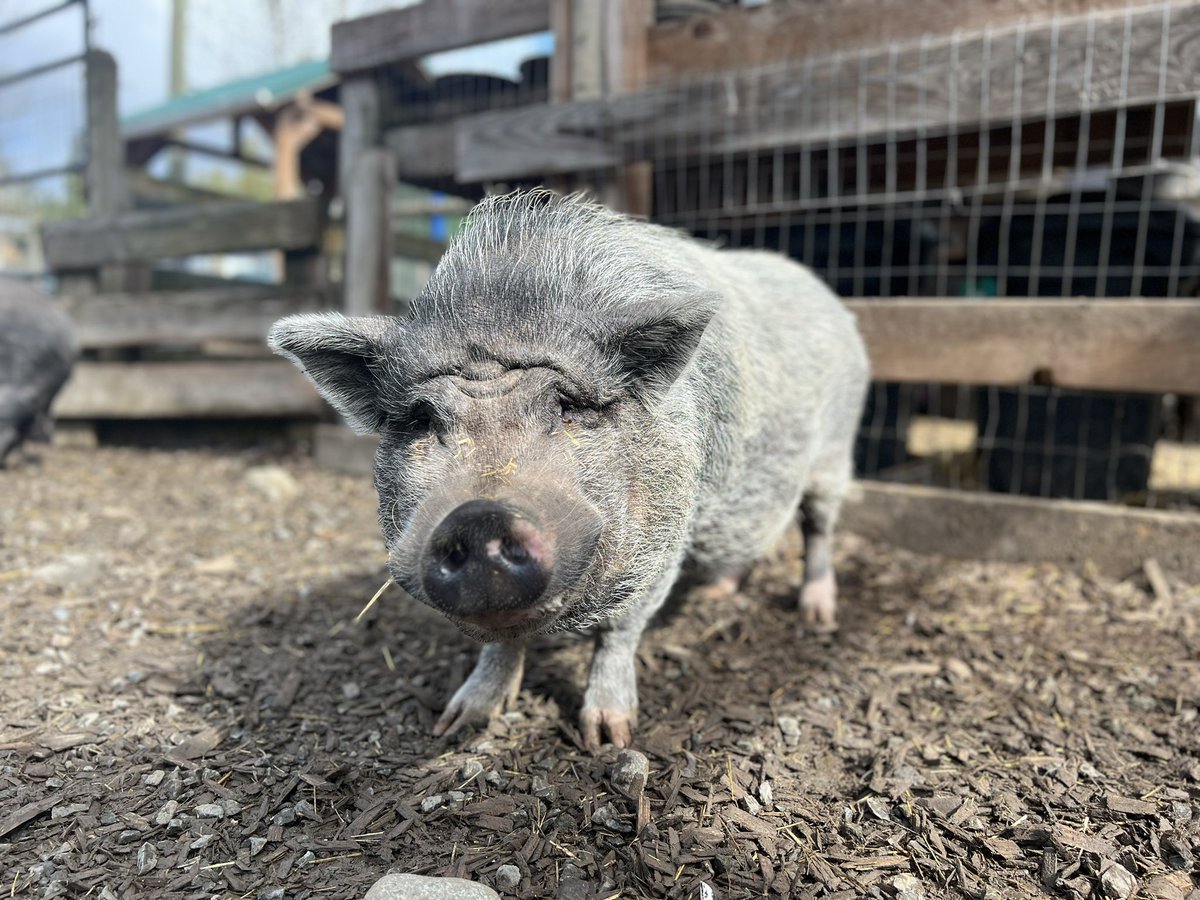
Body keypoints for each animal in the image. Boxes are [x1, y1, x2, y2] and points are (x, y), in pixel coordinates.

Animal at [270, 194, 873, 748]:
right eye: (422, 419)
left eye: (570, 407)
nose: (480, 517)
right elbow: (500, 643)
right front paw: (458, 723)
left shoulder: (665, 535)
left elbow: (620, 631)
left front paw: (608, 739)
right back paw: (720, 593)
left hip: (835, 454)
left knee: (819, 528)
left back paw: (817, 615)